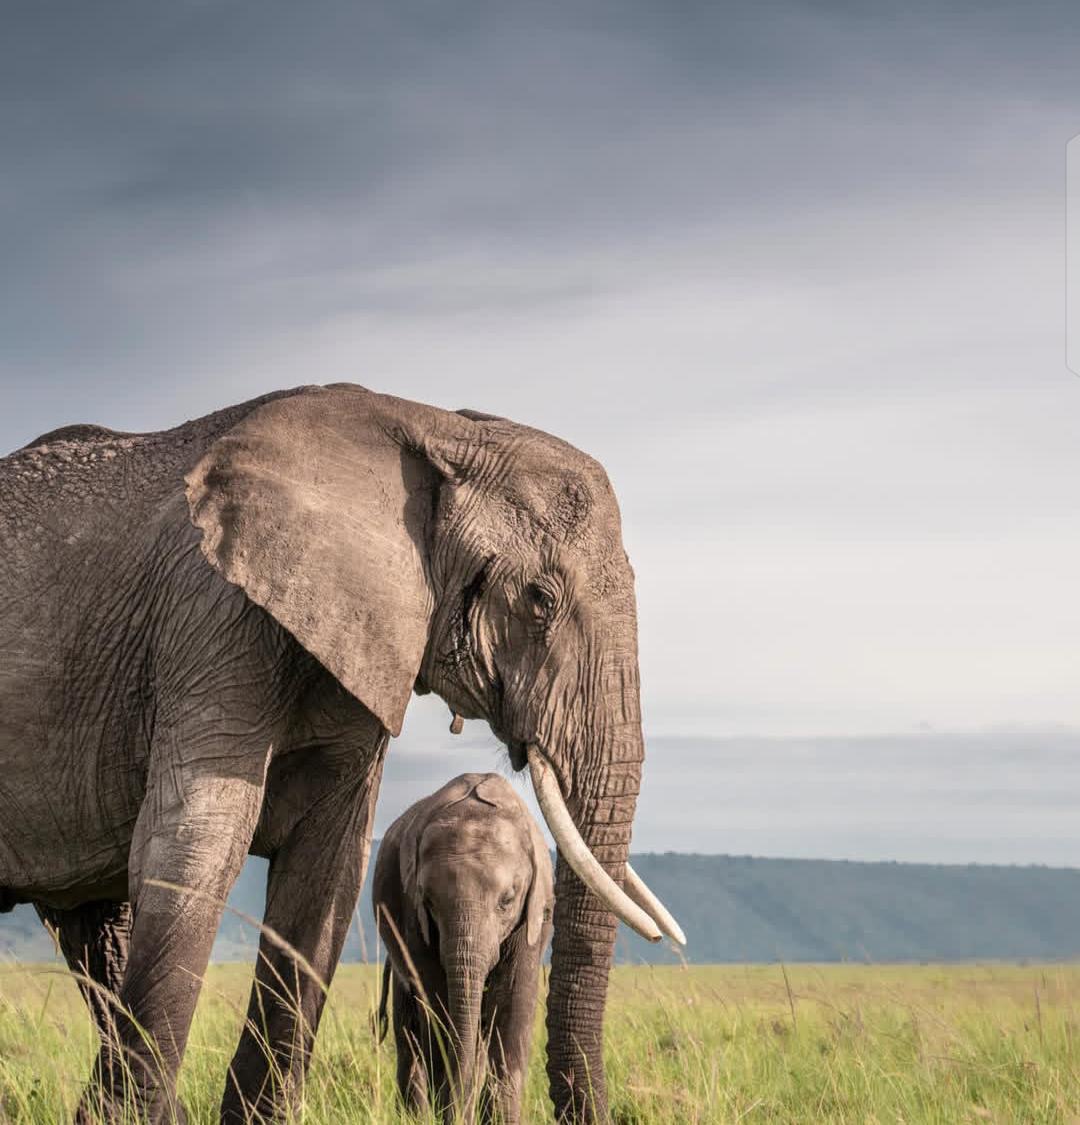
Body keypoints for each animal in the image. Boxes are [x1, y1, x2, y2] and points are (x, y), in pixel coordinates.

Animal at [373, 772, 554, 1124]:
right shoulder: (412, 917)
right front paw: (449, 1108)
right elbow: (438, 1007)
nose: (457, 1113)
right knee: (409, 1033)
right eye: (429, 902)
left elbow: (513, 1004)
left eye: (507, 900)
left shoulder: (534, 917)